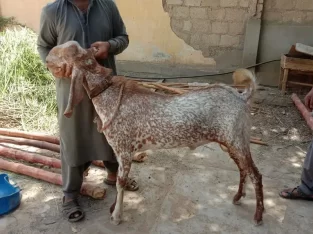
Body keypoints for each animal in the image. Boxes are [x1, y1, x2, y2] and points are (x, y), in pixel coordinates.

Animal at [45, 40, 264, 227]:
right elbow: (118, 179)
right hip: (231, 142)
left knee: (255, 174)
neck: (108, 94)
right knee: (242, 169)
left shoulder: (124, 150)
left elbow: (120, 182)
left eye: (62, 53)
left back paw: (258, 216)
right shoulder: (119, 151)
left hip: (237, 140)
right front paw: (114, 208)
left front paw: (117, 216)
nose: (46, 58)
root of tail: (242, 97)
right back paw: (237, 197)